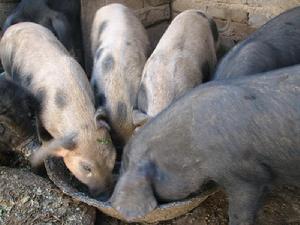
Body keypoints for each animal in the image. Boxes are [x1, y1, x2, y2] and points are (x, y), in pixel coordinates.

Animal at [0, 22, 116, 196]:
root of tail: (13, 26)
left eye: (113, 159)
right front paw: (44, 141)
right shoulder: (40, 109)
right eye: (86, 167)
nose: (106, 194)